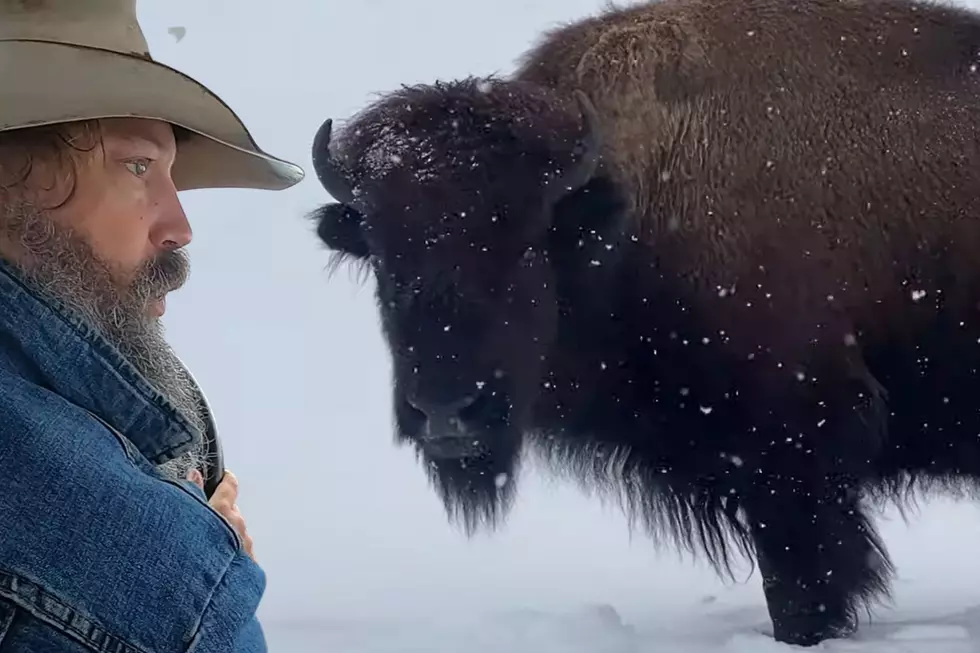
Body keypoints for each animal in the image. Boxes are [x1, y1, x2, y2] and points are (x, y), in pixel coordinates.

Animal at [304, 0, 980, 644]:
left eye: (524, 244)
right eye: (386, 256)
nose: (447, 414)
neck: (628, 213)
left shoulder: (795, 451)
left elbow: (802, 584)